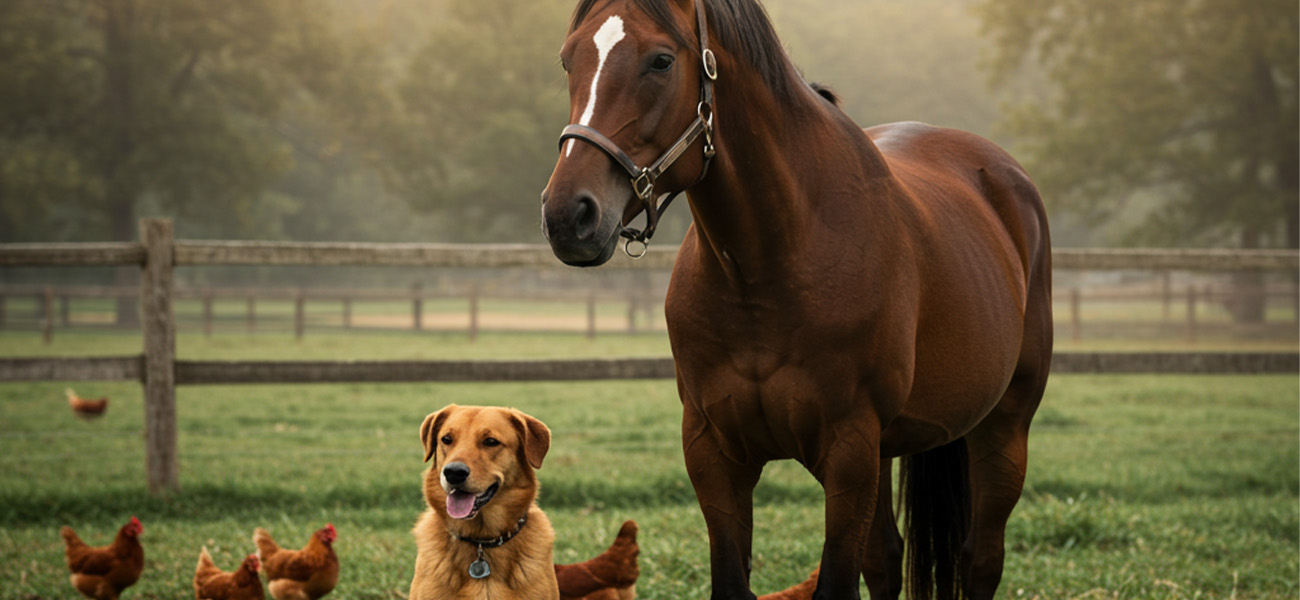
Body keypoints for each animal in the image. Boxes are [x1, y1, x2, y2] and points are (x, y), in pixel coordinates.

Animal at [539, 1, 1053, 599]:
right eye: (568, 59)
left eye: (661, 61)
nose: (568, 216)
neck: (767, 269)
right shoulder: (714, 454)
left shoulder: (849, 452)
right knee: (885, 559)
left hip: (1003, 429)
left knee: (980, 560)